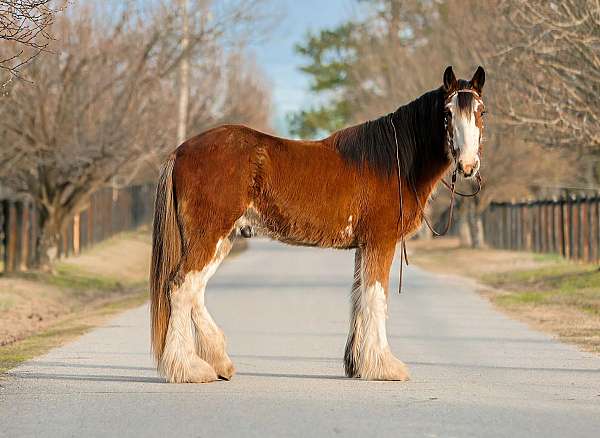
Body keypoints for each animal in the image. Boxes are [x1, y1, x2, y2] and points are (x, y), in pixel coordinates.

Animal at [150, 66, 488, 384]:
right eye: (447, 113)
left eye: (481, 111)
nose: (467, 165)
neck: (392, 162)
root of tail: (181, 151)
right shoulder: (381, 242)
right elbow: (376, 298)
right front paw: (385, 366)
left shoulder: (364, 246)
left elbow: (359, 298)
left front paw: (358, 365)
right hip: (209, 236)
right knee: (181, 288)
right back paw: (189, 369)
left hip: (223, 239)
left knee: (194, 292)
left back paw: (218, 361)